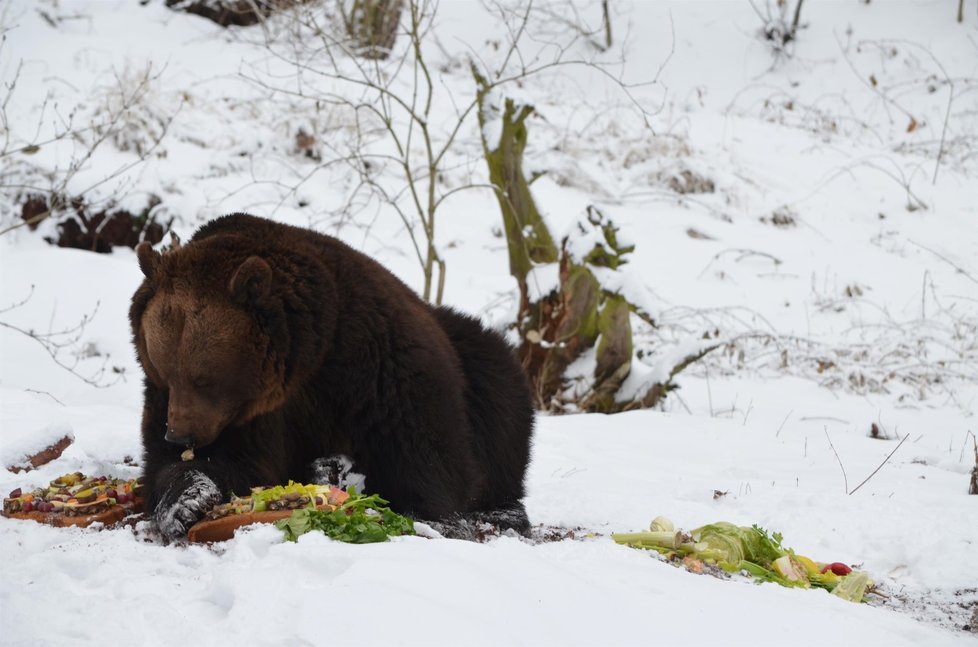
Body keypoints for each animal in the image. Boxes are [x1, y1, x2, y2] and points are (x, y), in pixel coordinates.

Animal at [131, 215, 532, 540]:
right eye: (167, 372)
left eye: (204, 379)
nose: (180, 434)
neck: (303, 365)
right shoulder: (253, 414)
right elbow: (229, 464)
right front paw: (187, 500)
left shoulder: (376, 361)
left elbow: (423, 445)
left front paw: (436, 518)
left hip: (469, 354)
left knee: (500, 397)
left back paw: (505, 511)